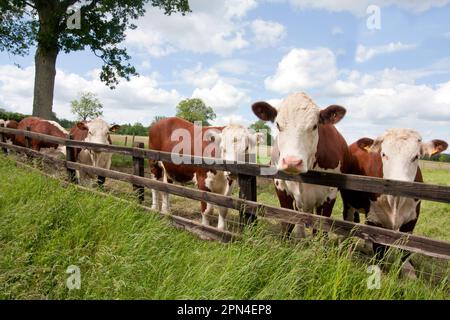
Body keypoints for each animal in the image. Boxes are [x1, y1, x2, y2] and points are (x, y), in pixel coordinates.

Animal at [250, 91, 352, 236]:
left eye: (315, 126)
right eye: (278, 125)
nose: (292, 162)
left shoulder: (330, 195)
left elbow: (321, 230)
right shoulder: (281, 186)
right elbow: (287, 223)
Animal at [342, 129, 448, 276]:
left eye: (416, 156)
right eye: (383, 154)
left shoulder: (412, 219)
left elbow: (405, 247)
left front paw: (409, 272)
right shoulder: (376, 218)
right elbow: (379, 248)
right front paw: (379, 269)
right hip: (349, 203)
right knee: (349, 220)